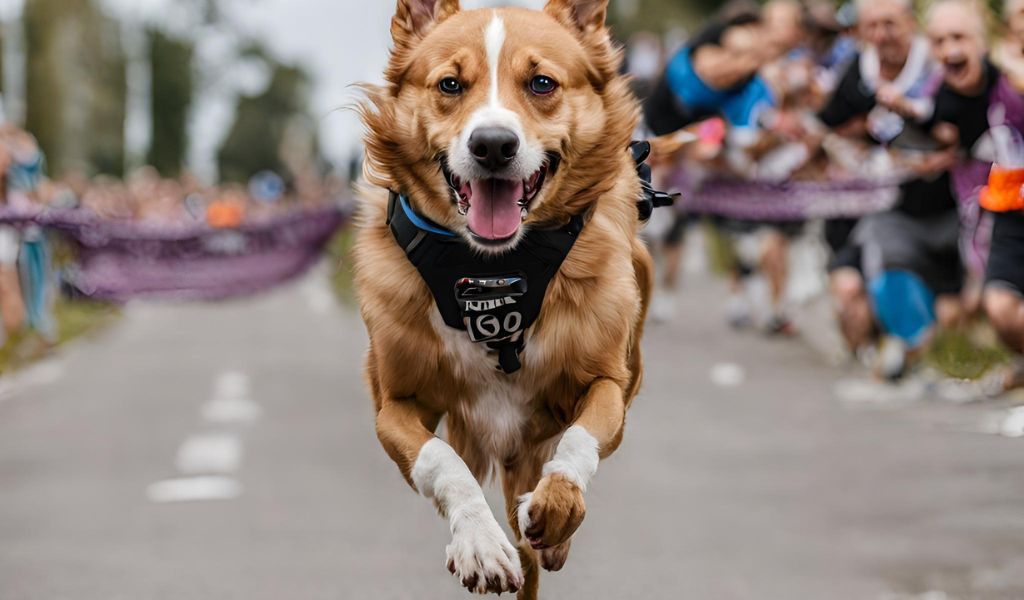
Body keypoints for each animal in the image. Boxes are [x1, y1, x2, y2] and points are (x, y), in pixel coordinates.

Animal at [356, 2, 651, 593]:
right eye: (450, 83)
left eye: (542, 83)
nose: (492, 144)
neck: (492, 272)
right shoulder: (393, 404)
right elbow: (440, 459)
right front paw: (479, 541)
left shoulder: (608, 381)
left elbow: (580, 440)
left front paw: (557, 507)